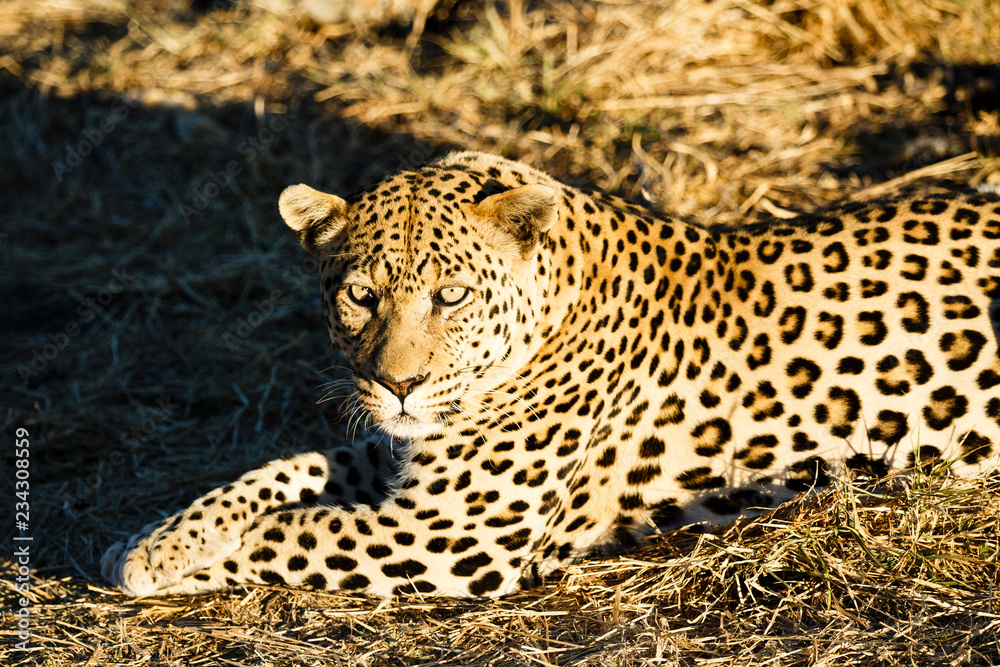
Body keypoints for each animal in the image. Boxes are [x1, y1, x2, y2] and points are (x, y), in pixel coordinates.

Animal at [103, 151, 1000, 598]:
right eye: (360, 295)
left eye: (452, 295)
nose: (399, 385)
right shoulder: (404, 460)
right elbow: (274, 475)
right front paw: (156, 540)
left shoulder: (450, 529)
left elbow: (297, 530)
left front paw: (160, 565)